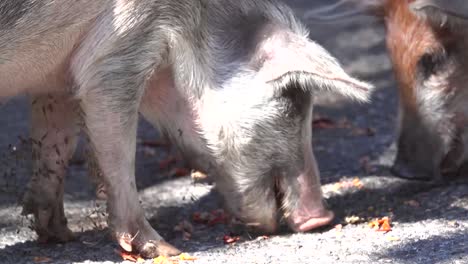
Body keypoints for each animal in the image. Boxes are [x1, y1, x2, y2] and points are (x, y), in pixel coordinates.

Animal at [1, 0, 372, 258]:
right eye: (291, 100)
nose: (322, 218)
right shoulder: (112, 58)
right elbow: (118, 157)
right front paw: (168, 251)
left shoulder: (58, 78)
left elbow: (56, 143)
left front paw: (59, 235)